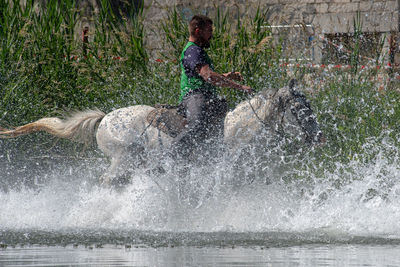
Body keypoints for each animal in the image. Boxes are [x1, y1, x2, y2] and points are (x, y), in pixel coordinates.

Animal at [0, 79, 322, 184]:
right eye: (300, 110)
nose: (318, 137)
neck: (237, 132)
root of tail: (104, 119)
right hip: (122, 159)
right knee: (106, 181)